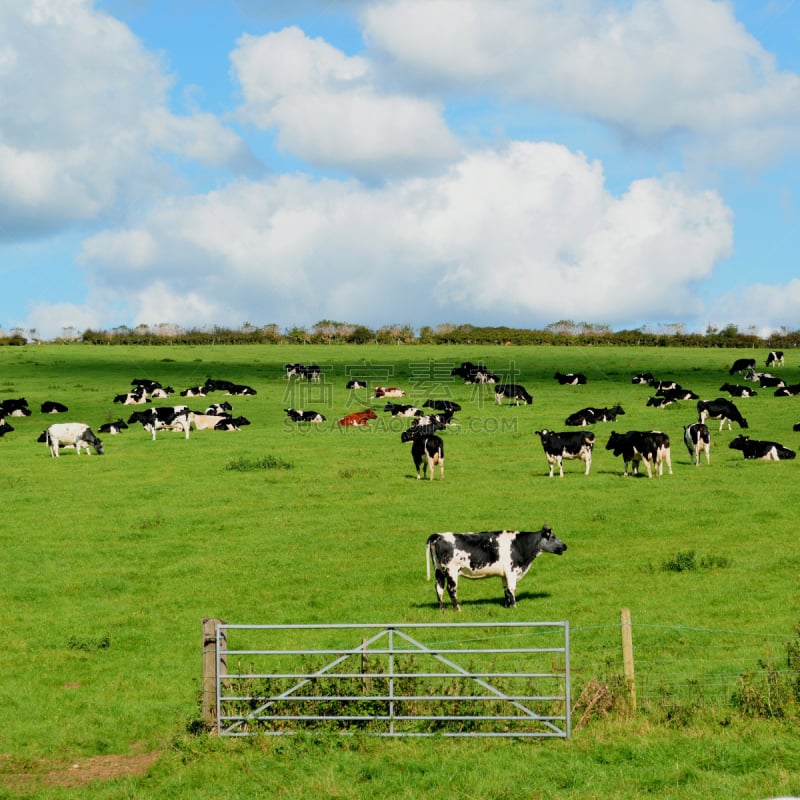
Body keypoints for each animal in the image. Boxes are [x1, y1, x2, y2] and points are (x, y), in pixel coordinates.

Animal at [424, 524, 568, 612]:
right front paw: (514, 606)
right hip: (451, 571)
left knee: (439, 588)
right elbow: (512, 589)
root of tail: (439, 535)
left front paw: (507, 606)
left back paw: (442, 609)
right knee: (451, 589)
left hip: (439, 571)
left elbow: (506, 590)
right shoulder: (511, 571)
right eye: (553, 537)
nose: (565, 546)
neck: (519, 545)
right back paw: (458, 609)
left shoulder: (504, 574)